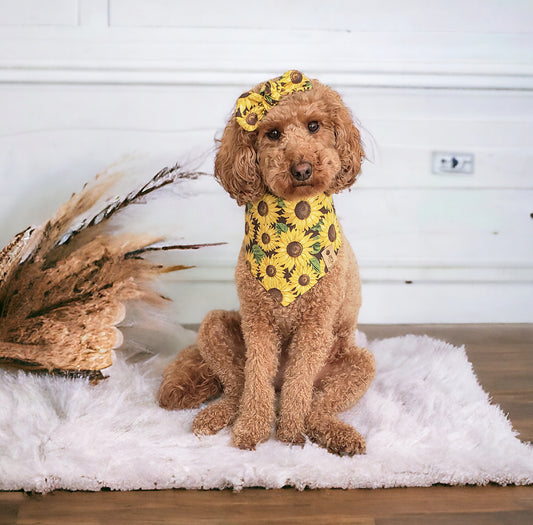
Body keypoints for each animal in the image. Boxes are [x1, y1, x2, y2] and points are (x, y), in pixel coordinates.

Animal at [158, 70, 374, 454]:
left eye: (314, 125)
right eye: (272, 134)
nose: (302, 168)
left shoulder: (315, 328)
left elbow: (299, 385)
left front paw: (288, 434)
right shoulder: (258, 323)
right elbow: (255, 380)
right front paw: (251, 431)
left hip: (357, 363)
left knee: (315, 406)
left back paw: (334, 433)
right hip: (215, 328)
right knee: (238, 388)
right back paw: (217, 416)